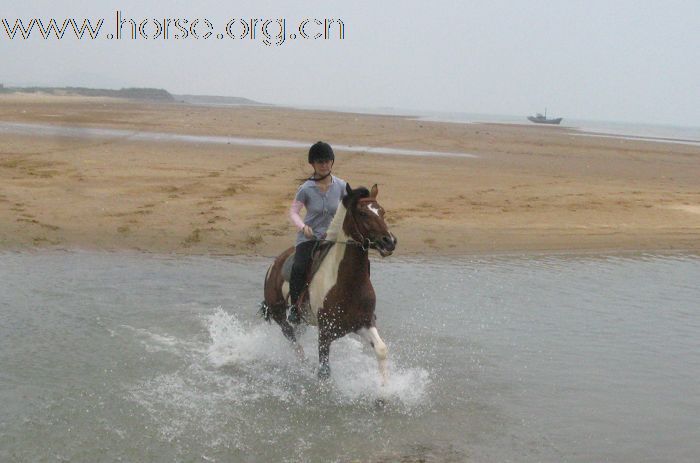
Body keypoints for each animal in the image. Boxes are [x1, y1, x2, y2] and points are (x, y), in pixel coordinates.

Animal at [258, 183, 400, 386]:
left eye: (382, 211)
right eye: (363, 213)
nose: (389, 242)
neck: (348, 283)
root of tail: (275, 264)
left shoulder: (364, 323)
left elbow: (381, 349)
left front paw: (384, 390)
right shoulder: (325, 334)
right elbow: (324, 372)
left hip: (303, 320)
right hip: (279, 314)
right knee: (291, 338)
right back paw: (302, 363)